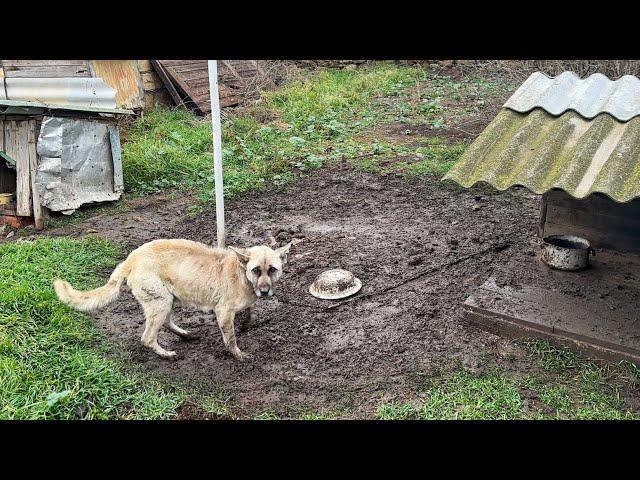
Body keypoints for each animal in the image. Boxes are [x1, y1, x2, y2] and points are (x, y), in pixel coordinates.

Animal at [52, 240, 292, 360]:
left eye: (272, 270)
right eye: (256, 270)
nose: (264, 292)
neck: (242, 275)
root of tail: (130, 259)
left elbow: (249, 313)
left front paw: (246, 324)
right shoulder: (223, 312)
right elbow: (230, 339)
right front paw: (239, 355)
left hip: (168, 299)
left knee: (166, 322)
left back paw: (185, 334)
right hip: (161, 302)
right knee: (147, 338)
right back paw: (166, 354)